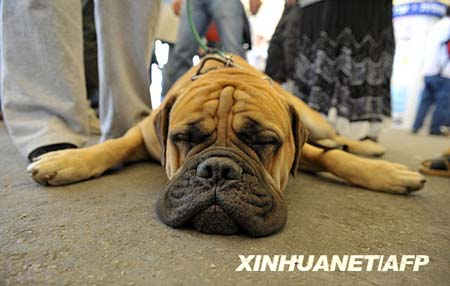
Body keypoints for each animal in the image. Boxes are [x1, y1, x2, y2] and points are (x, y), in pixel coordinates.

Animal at [28, 54, 426, 236]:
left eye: (265, 141)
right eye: (184, 138)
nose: (218, 169)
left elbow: (331, 159)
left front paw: (389, 174)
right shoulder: (142, 134)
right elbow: (110, 147)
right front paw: (63, 160)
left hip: (314, 119)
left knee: (333, 139)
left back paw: (368, 148)